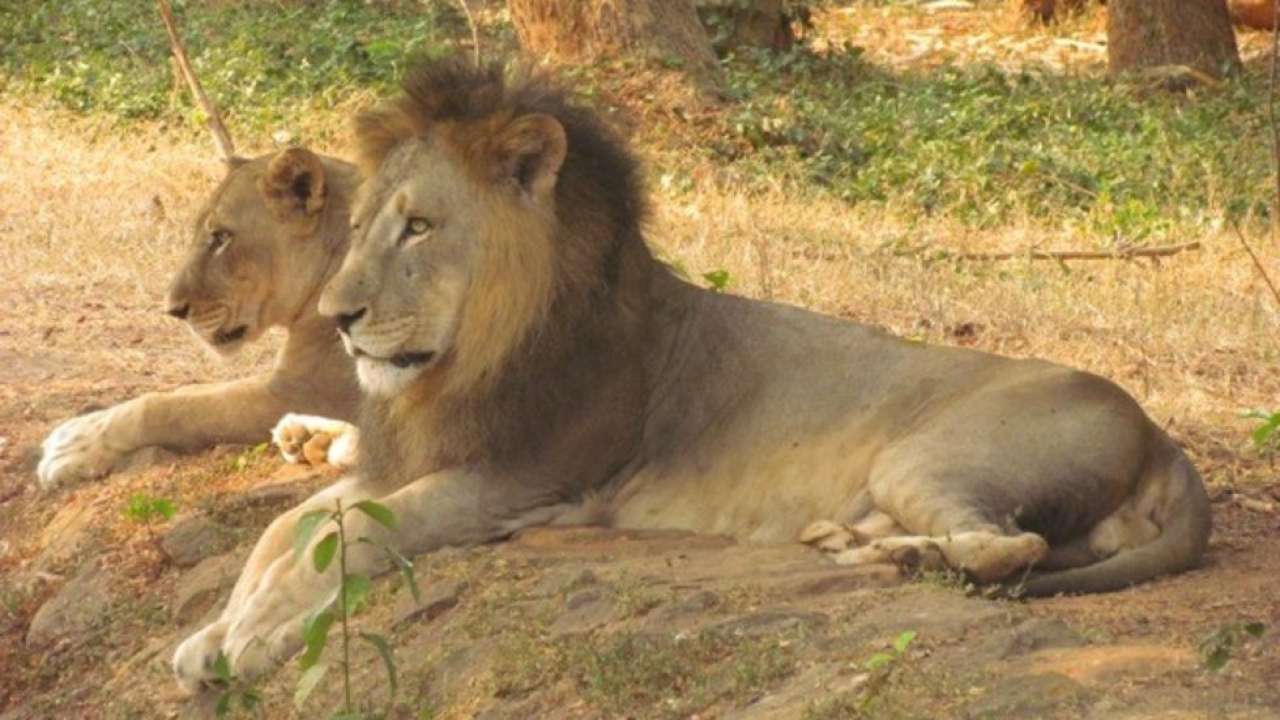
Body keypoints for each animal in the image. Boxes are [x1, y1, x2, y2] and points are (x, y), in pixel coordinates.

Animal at [36, 148, 366, 489]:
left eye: (221, 237)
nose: (173, 309)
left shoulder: (305, 390)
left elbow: (164, 408)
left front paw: (71, 444)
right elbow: (185, 391)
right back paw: (307, 437)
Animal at [170, 57, 1208, 691]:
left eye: (419, 226)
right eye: (359, 225)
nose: (340, 317)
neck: (469, 356)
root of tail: (1164, 436)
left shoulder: (522, 479)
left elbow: (346, 535)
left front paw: (257, 641)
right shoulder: (410, 458)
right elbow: (285, 531)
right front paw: (213, 637)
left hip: (927, 458)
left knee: (1011, 547)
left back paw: (905, 560)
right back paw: (860, 545)